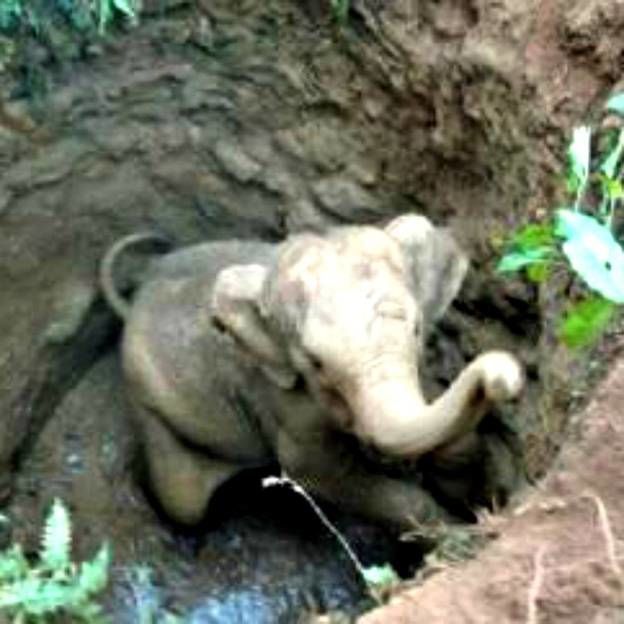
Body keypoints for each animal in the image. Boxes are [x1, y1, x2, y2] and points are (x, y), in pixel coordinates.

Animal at [100, 214, 524, 530]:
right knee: (184, 501)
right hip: (148, 401)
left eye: (417, 329)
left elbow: (449, 430)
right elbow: (316, 472)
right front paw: (447, 532)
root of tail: (134, 300)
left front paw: (475, 499)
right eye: (315, 362)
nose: (505, 376)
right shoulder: (284, 401)